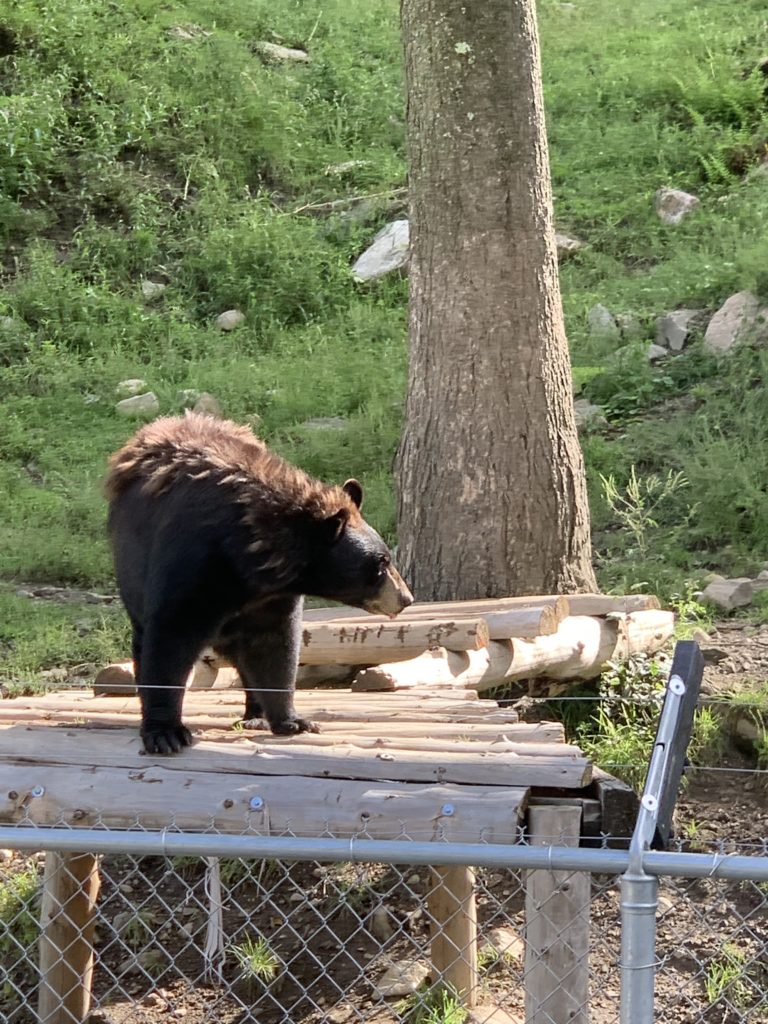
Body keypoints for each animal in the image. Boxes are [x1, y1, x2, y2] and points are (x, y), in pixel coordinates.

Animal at [105, 412, 413, 755]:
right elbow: (171, 638)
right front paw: (166, 732)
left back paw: (256, 714)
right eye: (381, 562)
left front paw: (292, 720)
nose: (405, 597)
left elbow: (274, 647)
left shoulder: (272, 597)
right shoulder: (193, 560)